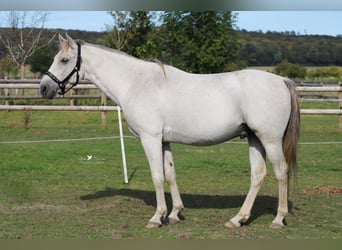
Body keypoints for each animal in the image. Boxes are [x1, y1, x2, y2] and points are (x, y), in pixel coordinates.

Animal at [39, 34, 300, 229]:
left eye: (64, 60)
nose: (43, 88)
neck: (137, 83)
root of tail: (282, 80)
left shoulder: (150, 139)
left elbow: (157, 176)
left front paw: (157, 217)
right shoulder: (164, 141)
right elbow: (170, 174)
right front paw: (175, 214)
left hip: (270, 140)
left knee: (281, 172)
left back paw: (278, 219)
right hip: (254, 139)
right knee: (258, 175)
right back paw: (238, 219)